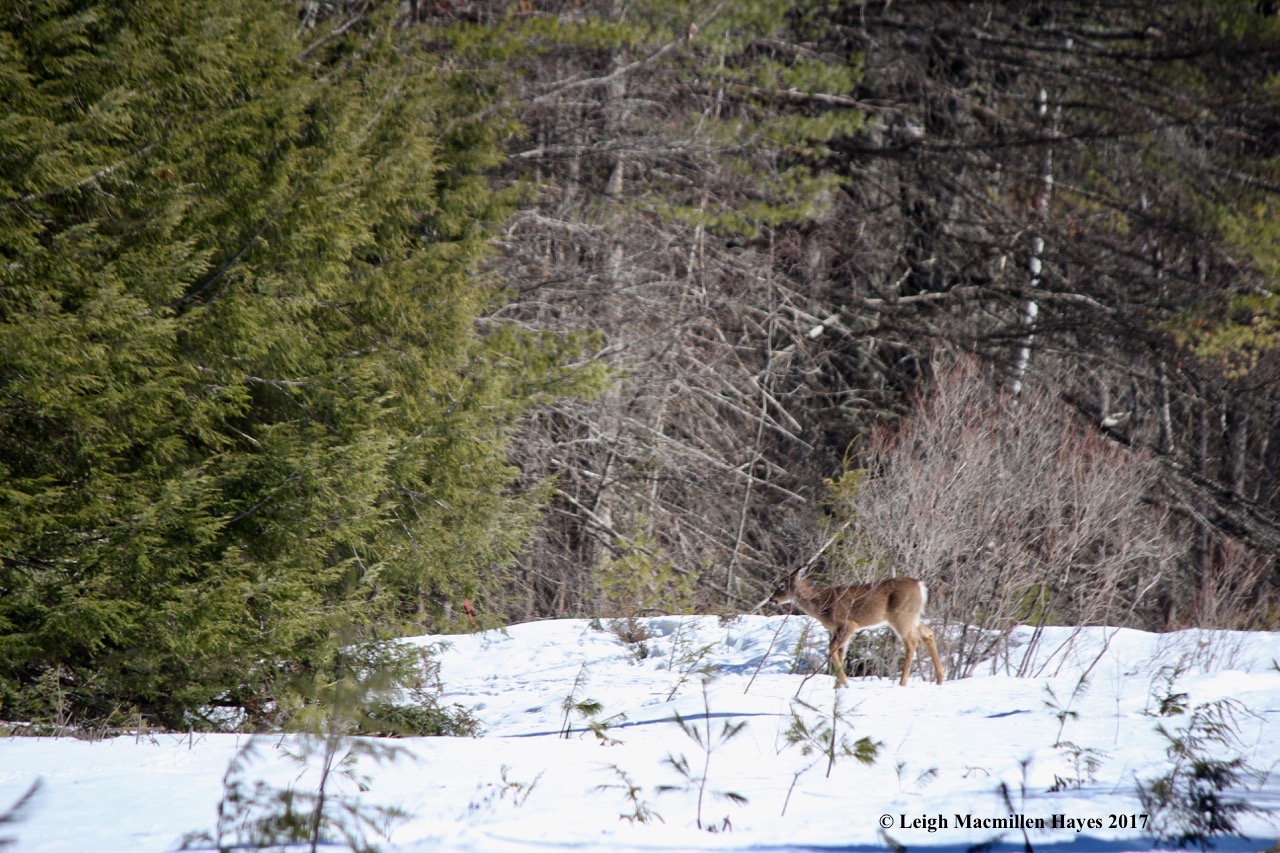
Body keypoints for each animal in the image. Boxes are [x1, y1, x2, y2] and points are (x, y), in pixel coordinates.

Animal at [772, 571, 944, 688]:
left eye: (781, 585)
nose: (773, 599)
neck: (822, 604)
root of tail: (920, 585)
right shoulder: (838, 629)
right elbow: (841, 652)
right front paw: (838, 686)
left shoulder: (848, 624)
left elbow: (832, 648)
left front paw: (844, 683)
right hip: (913, 618)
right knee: (929, 634)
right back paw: (940, 679)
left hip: (901, 616)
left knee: (911, 643)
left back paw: (902, 682)